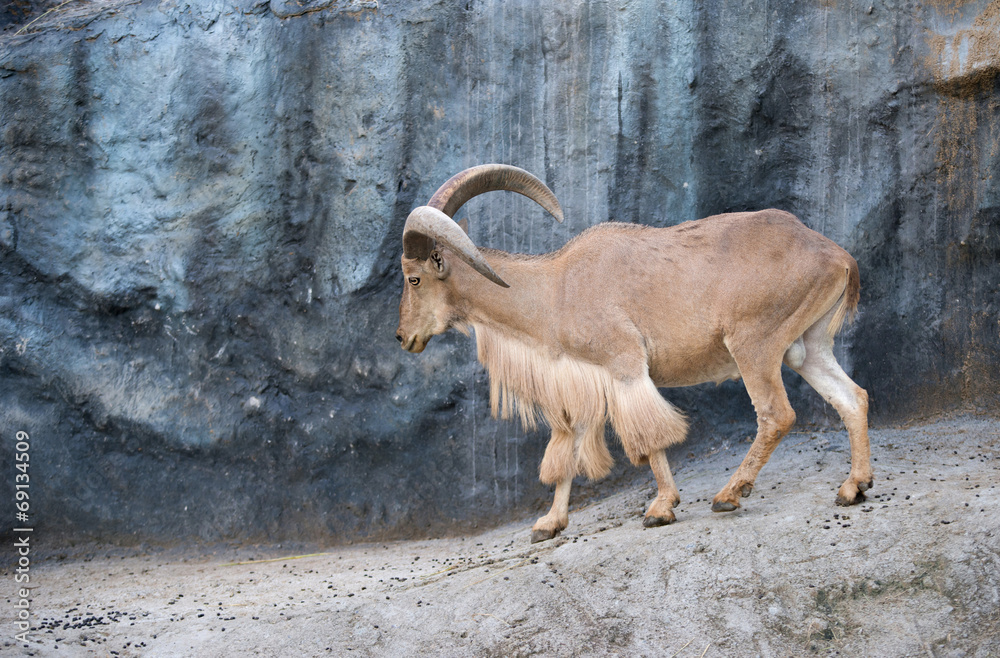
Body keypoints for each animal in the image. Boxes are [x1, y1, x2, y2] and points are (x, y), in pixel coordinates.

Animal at [394, 165, 872, 544]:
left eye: (414, 278)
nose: (402, 337)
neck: (554, 291)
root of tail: (836, 255)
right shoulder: (580, 380)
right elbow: (567, 448)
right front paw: (549, 523)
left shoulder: (624, 365)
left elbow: (648, 435)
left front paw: (661, 508)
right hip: (806, 347)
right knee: (853, 397)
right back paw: (855, 486)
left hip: (755, 343)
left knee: (777, 414)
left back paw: (729, 495)